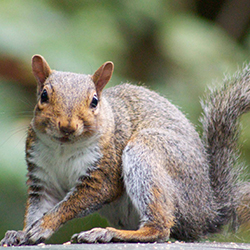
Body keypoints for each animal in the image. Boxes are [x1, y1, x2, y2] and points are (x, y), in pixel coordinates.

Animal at [0, 55, 250, 246]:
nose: (67, 126)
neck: (64, 147)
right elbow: (39, 206)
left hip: (147, 153)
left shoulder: (103, 172)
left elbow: (75, 202)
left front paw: (44, 225)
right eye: (44, 95)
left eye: (94, 101)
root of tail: (209, 210)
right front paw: (21, 233)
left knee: (159, 229)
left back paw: (107, 233)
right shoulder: (42, 177)